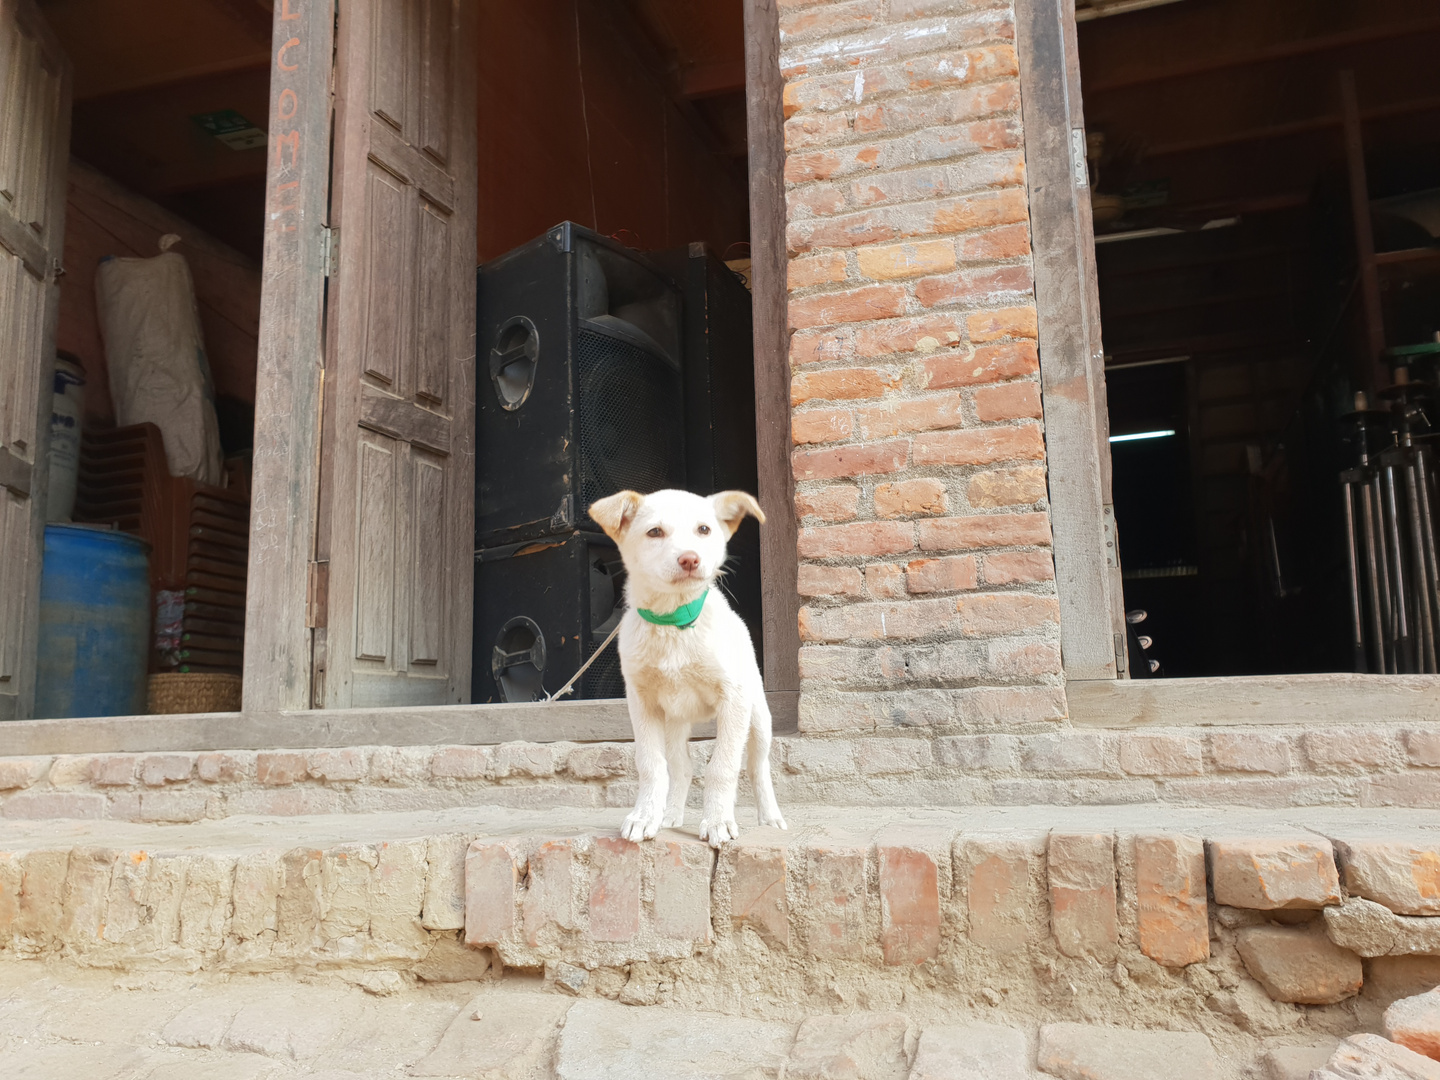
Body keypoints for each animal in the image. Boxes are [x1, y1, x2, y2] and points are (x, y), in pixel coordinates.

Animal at [587, 486, 789, 852]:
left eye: (704, 529)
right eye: (654, 532)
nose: (690, 559)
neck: (674, 621)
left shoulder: (734, 700)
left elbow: (723, 766)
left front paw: (718, 821)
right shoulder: (642, 703)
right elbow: (651, 764)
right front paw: (645, 816)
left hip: (758, 716)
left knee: (757, 767)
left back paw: (770, 818)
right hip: (675, 722)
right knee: (681, 767)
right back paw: (669, 815)